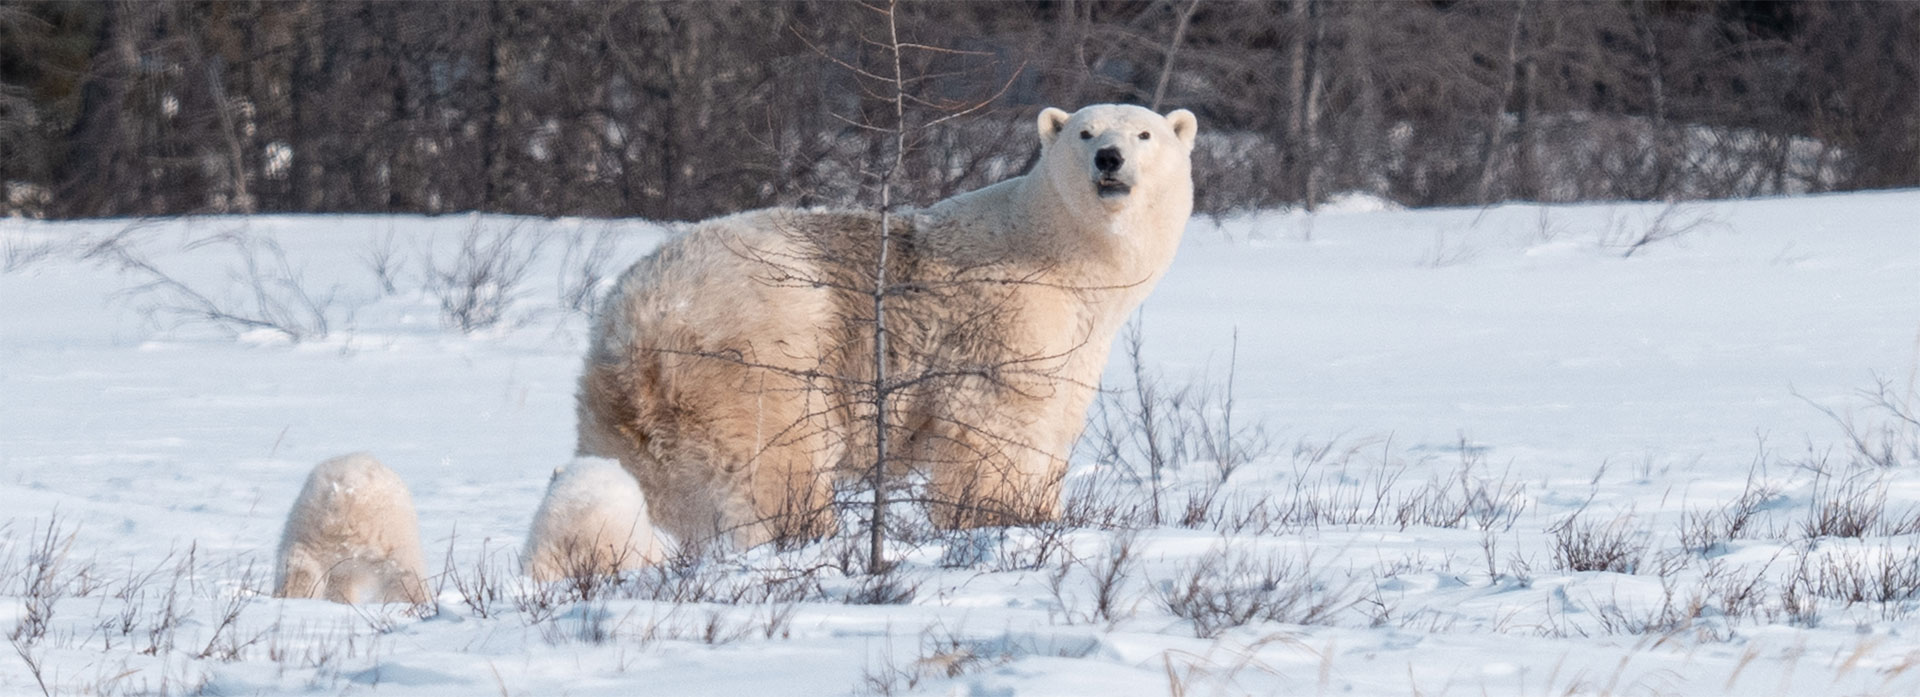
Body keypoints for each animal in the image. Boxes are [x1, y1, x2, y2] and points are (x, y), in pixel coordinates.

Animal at [576, 103, 1190, 552]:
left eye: (1145, 134)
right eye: (1085, 133)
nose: (1109, 159)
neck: (1058, 252)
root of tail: (641, 327)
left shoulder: (1078, 338)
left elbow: (1056, 417)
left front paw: (1044, 511)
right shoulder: (1008, 318)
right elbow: (995, 426)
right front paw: (1003, 519)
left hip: (620, 408)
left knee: (641, 482)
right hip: (759, 355)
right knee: (775, 463)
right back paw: (807, 533)